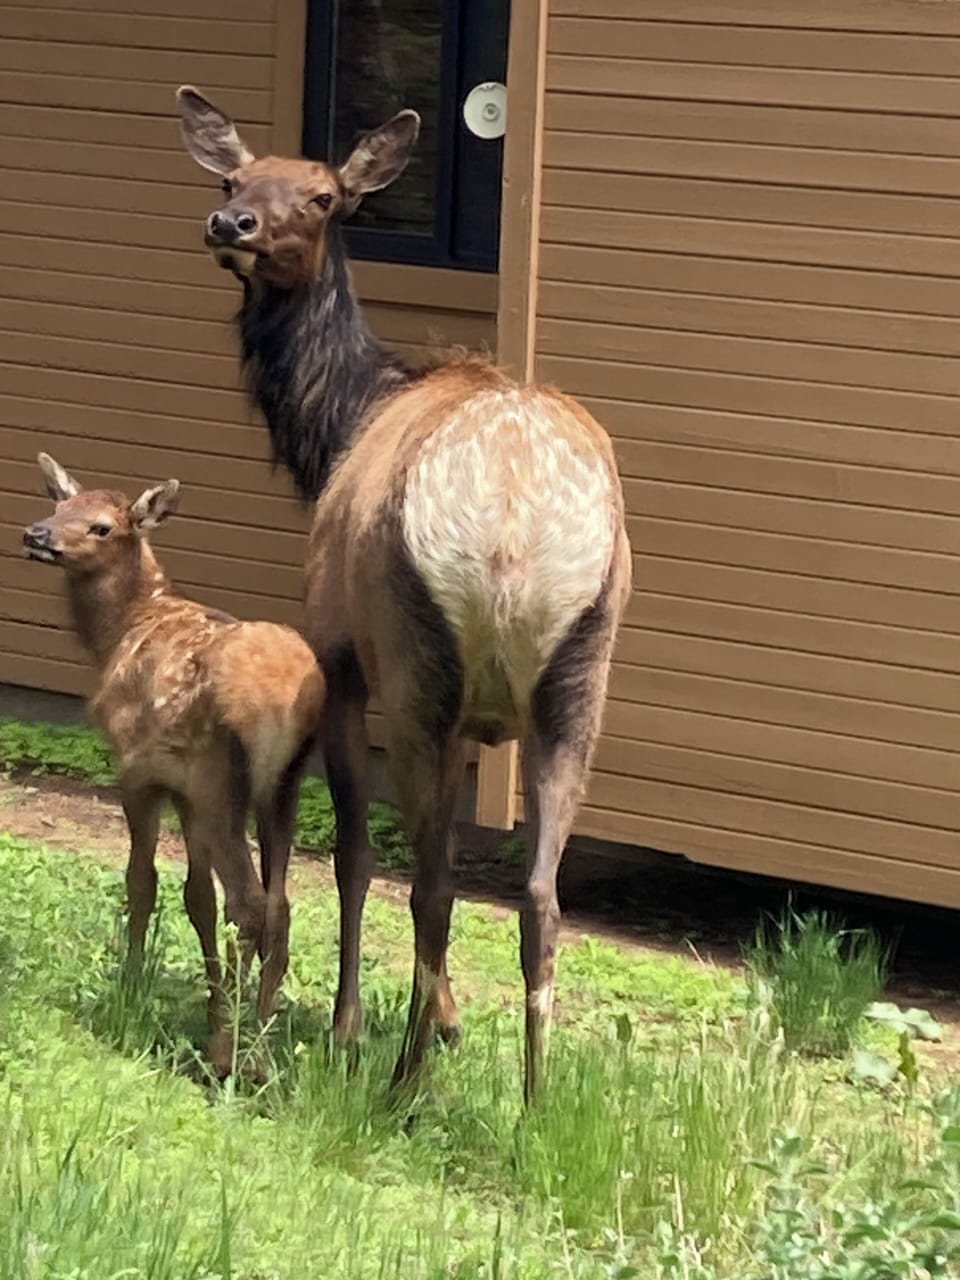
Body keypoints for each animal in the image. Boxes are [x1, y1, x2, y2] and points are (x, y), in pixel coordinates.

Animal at [23, 452, 325, 1076]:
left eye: (102, 527)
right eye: (60, 505)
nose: (37, 534)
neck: (119, 632)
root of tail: (291, 702)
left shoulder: (141, 770)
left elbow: (143, 881)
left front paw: (130, 985)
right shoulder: (184, 791)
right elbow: (197, 898)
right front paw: (209, 1004)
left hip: (221, 779)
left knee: (250, 903)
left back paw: (229, 1053)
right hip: (283, 787)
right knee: (279, 906)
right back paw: (259, 1045)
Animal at [176, 86, 632, 1101]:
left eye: (321, 196)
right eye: (233, 178)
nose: (231, 224)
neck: (340, 427)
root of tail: (513, 521)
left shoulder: (340, 656)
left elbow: (350, 851)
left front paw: (349, 1026)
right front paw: (453, 1019)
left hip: (418, 659)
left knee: (430, 885)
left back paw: (403, 1081)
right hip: (579, 671)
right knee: (538, 896)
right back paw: (533, 1097)